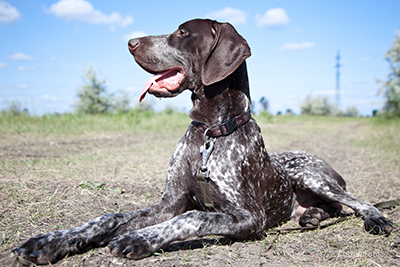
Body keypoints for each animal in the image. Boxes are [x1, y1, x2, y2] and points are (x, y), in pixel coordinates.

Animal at [11, 18, 390, 266]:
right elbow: (107, 217)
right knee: (332, 208)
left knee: (355, 203)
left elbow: (193, 217)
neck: (211, 131)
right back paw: (311, 216)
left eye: (182, 32)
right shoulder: (168, 203)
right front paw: (48, 242)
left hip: (311, 175)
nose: (130, 42)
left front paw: (138, 238)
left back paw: (374, 219)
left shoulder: (248, 217)